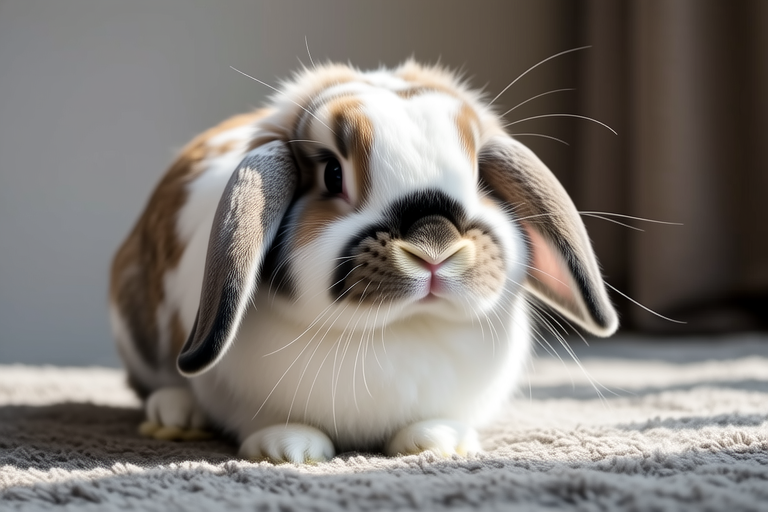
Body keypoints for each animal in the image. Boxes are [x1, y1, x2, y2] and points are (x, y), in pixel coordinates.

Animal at [109, 60, 618, 464]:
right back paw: (175, 414)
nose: (434, 244)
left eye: (478, 176)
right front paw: (289, 448)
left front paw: (440, 442)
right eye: (333, 174)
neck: (399, 329)